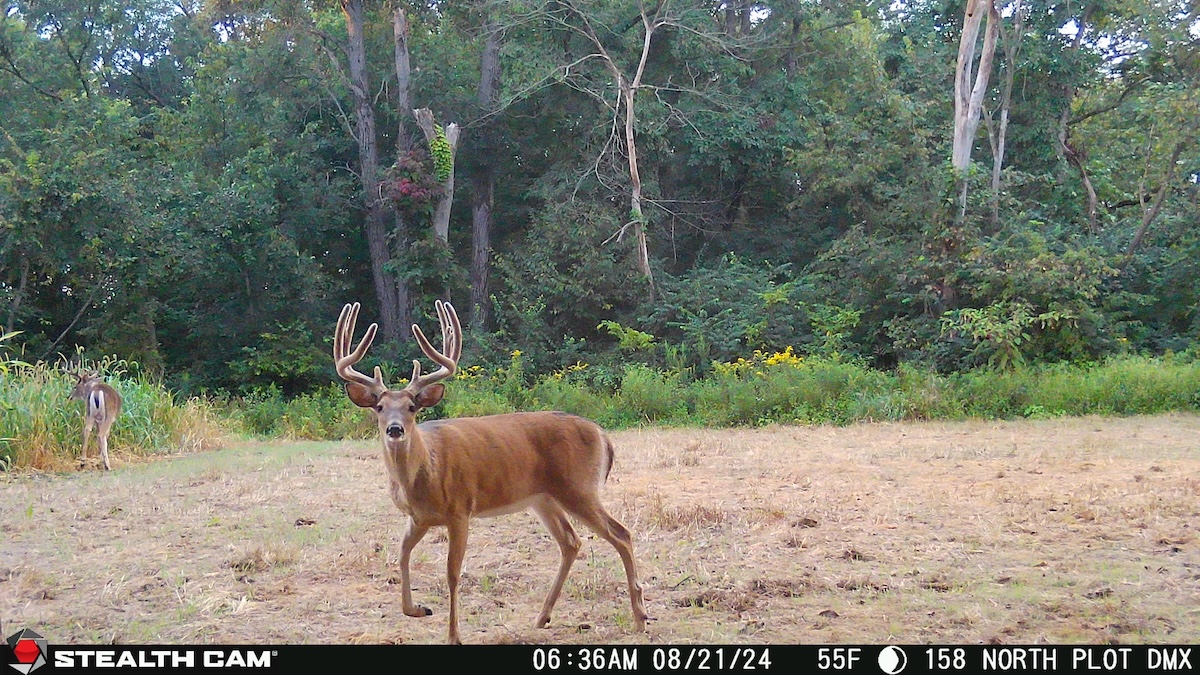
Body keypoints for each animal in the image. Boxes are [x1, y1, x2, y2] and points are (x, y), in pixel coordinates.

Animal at [334, 300, 648, 644]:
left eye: (412, 407)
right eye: (379, 407)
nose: (394, 429)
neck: (424, 472)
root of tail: (603, 435)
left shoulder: (460, 509)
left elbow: (452, 573)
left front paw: (454, 635)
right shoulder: (418, 518)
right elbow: (401, 555)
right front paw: (418, 609)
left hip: (579, 488)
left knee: (621, 533)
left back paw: (640, 617)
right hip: (544, 498)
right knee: (571, 541)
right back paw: (543, 616)